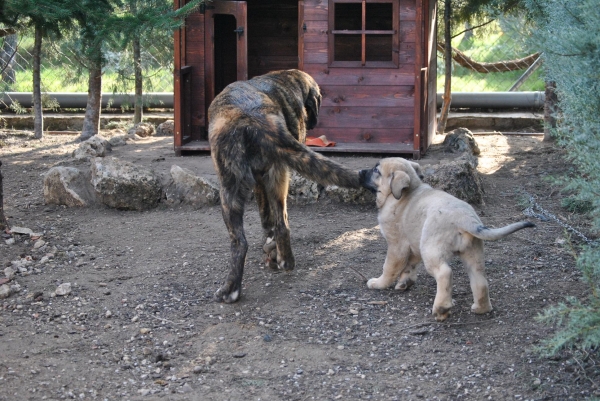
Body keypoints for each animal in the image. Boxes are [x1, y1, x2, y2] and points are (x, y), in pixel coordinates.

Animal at [209, 69, 360, 302]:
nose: (313, 122)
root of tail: (254, 117)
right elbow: (269, 222)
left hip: (245, 186)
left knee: (255, 235)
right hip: (263, 182)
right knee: (271, 229)